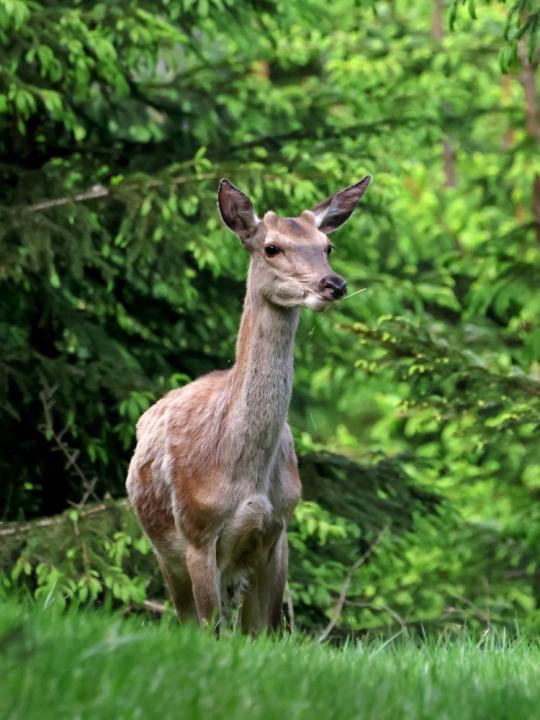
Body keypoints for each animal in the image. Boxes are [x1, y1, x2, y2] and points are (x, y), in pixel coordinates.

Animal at [126, 174, 372, 632]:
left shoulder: (277, 533)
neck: (244, 476)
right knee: (186, 618)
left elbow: (267, 631)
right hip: (165, 551)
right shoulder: (197, 533)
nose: (334, 284)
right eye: (271, 247)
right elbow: (209, 629)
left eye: (327, 246)